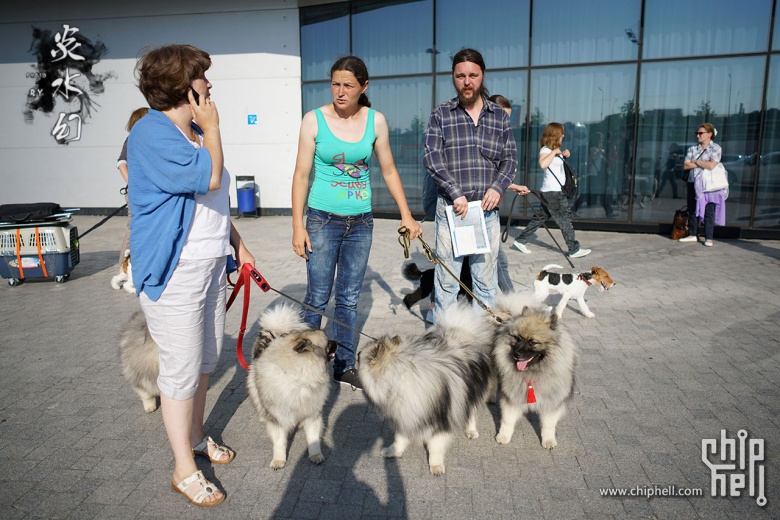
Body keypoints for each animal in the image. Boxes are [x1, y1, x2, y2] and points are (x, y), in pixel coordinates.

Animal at [247, 304, 338, 472]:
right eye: (328, 344)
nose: (338, 343)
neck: (298, 377)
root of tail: (275, 331)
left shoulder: (312, 412)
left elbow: (313, 437)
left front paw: (315, 455)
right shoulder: (277, 417)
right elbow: (279, 441)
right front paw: (278, 460)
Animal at [354, 300, 490, 476]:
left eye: (360, 356)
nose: (356, 354)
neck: (399, 378)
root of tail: (462, 332)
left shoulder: (439, 421)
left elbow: (435, 446)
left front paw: (436, 465)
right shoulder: (406, 416)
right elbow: (399, 438)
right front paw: (393, 451)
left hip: (473, 390)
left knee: (472, 411)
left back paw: (471, 431)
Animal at [494, 296, 580, 450]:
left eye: (533, 342)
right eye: (517, 338)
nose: (516, 354)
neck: (533, 372)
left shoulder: (552, 400)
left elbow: (549, 424)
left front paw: (548, 440)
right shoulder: (512, 395)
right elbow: (507, 420)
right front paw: (503, 436)